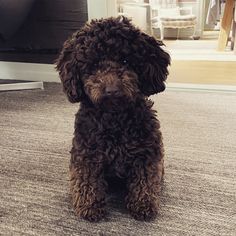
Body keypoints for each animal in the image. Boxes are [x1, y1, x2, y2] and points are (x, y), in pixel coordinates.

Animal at [55, 16, 170, 221]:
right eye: (93, 66)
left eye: (125, 60)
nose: (111, 90)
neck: (114, 118)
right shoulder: (87, 153)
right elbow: (86, 178)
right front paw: (89, 206)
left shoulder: (146, 153)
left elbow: (145, 180)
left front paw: (144, 205)